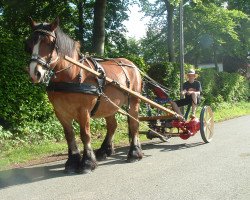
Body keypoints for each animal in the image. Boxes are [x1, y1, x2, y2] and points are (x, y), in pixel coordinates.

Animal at [25, 17, 144, 173]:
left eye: (50, 43)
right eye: (29, 44)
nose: (35, 73)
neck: (72, 75)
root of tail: (132, 65)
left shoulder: (84, 110)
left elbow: (85, 134)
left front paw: (87, 162)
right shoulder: (60, 112)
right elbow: (69, 135)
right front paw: (72, 161)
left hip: (134, 101)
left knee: (134, 124)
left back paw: (134, 152)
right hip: (109, 105)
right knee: (113, 125)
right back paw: (104, 150)